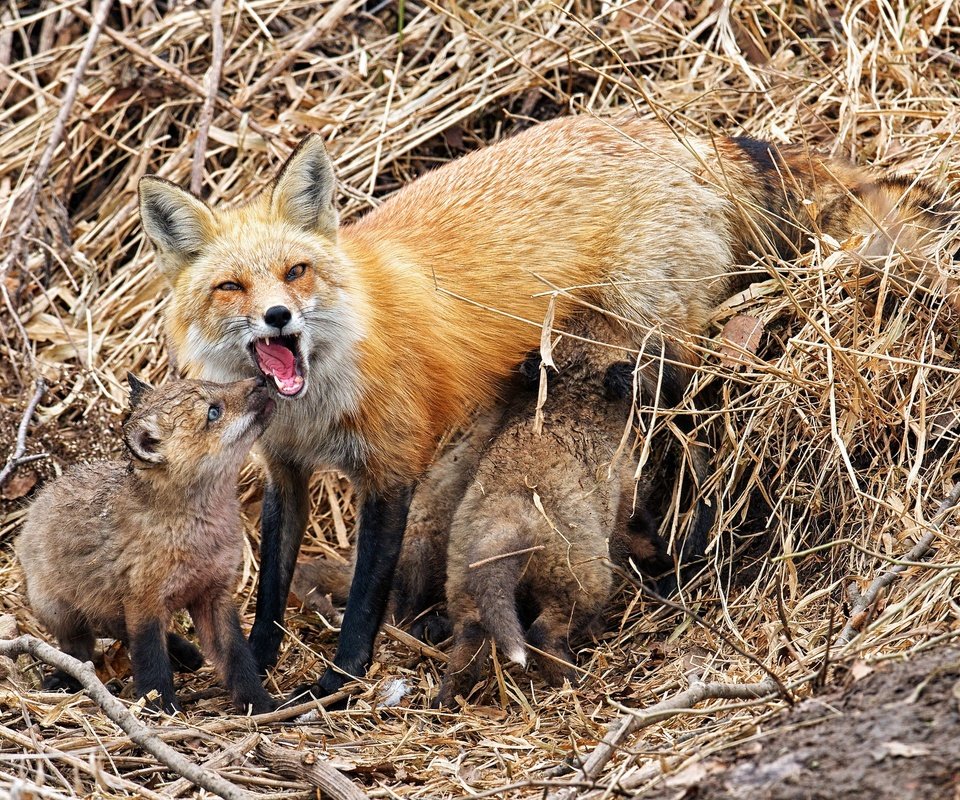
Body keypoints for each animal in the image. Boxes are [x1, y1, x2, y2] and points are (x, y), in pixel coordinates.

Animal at [139, 114, 956, 700]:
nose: (278, 317)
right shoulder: (287, 473)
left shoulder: (393, 473)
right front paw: (256, 667)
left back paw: (686, 556)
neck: (323, 389)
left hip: (658, 348)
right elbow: (271, 589)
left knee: (692, 437)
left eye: (296, 272)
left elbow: (366, 599)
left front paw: (336, 683)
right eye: (231, 288)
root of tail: (685, 135)